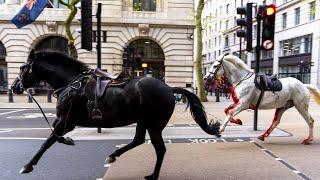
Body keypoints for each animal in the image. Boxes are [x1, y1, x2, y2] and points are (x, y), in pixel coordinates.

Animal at [11, 50, 220, 179]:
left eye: (22, 68)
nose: (14, 87)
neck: (71, 83)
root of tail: (169, 88)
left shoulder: (67, 121)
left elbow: (47, 142)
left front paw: (28, 165)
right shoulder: (63, 120)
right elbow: (54, 136)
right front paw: (68, 140)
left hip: (154, 124)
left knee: (159, 149)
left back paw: (153, 175)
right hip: (143, 121)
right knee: (138, 140)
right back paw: (113, 155)